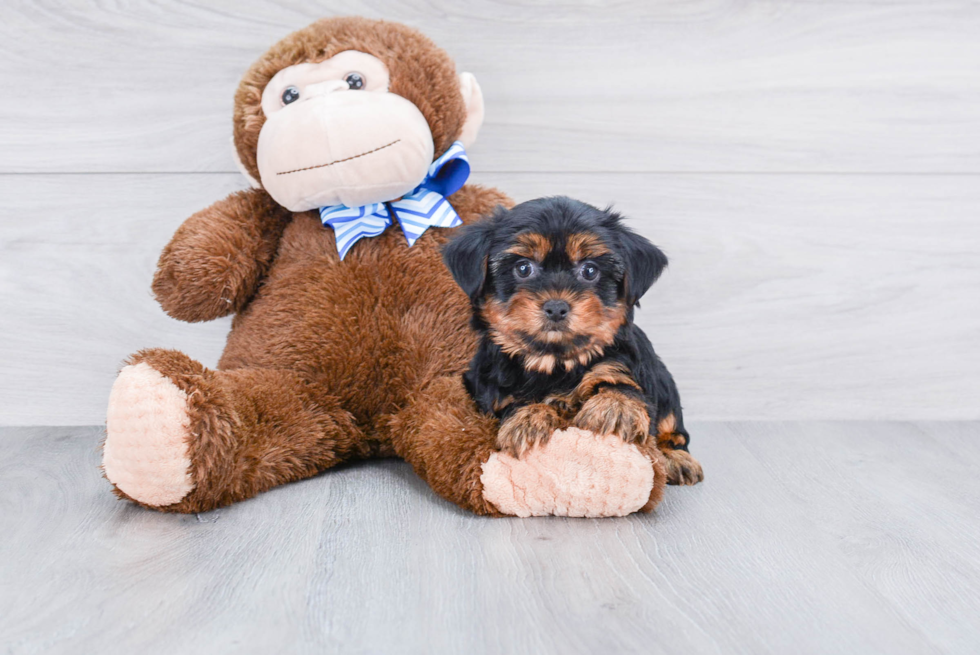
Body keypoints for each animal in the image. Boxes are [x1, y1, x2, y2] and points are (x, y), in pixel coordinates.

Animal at [444, 196, 704, 486]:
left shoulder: (619, 364)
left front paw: (615, 407)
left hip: (664, 384)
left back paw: (676, 458)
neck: (553, 360)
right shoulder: (491, 396)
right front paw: (528, 418)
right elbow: (517, 404)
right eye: (523, 268)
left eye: (589, 270)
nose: (556, 307)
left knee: (674, 428)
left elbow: (622, 385)